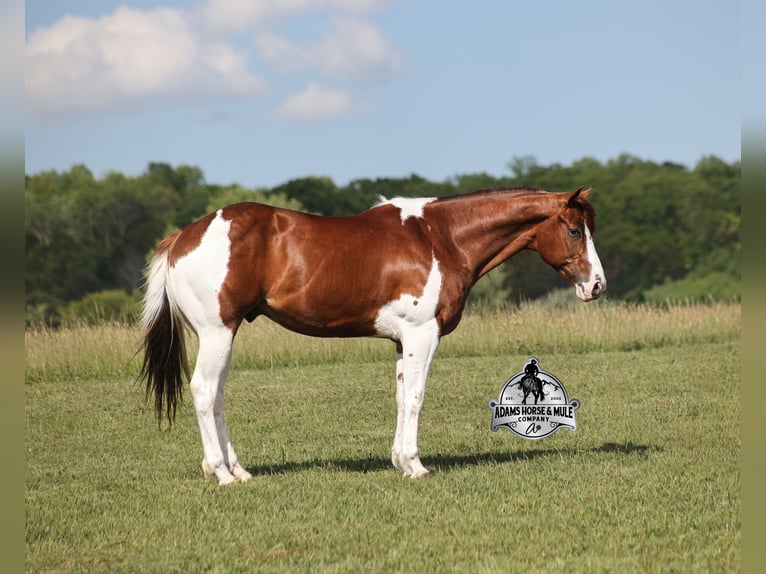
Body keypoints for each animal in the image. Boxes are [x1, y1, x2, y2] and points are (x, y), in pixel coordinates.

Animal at [139, 186, 605, 484]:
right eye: (574, 230)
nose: (597, 285)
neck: (441, 238)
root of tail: (181, 237)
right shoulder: (422, 335)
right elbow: (416, 397)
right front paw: (416, 466)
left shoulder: (402, 341)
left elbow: (401, 397)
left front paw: (400, 461)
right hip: (217, 333)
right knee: (203, 391)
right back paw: (220, 473)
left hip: (222, 337)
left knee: (217, 396)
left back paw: (238, 469)